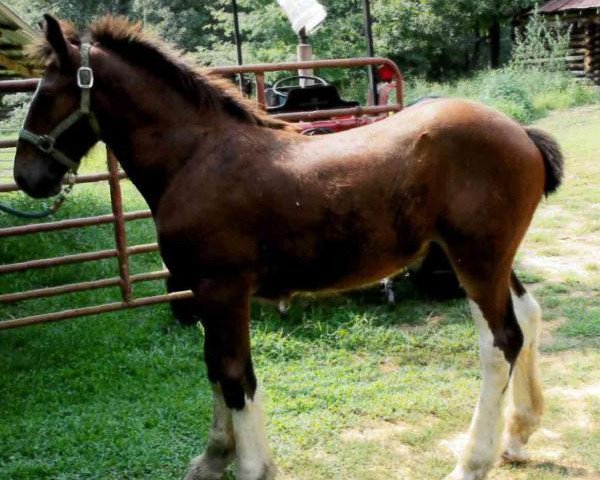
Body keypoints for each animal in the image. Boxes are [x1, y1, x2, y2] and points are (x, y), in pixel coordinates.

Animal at [14, 15, 564, 480]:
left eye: (46, 91)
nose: (26, 176)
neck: (197, 158)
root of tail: (521, 132)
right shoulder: (204, 294)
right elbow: (214, 367)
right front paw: (214, 457)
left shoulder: (222, 290)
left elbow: (236, 375)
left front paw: (252, 467)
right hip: (487, 257)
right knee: (527, 316)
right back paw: (518, 437)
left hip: (476, 258)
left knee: (500, 343)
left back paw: (472, 462)